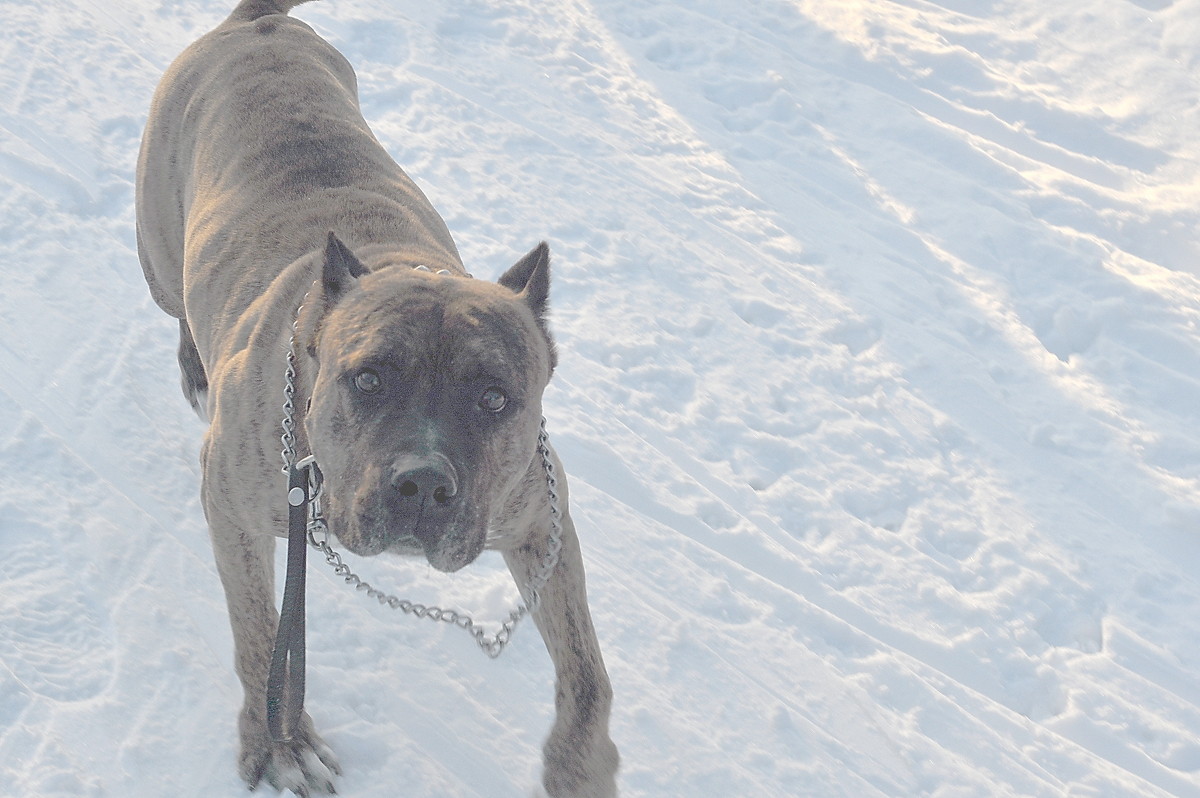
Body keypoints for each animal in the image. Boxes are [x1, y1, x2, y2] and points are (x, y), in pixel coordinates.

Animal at [135, 3, 619, 792]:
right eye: (368, 379)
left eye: (495, 398)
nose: (422, 483)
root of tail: (257, 23)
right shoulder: (233, 506)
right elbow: (259, 631)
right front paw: (278, 740)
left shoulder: (539, 521)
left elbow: (587, 674)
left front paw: (580, 765)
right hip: (157, 251)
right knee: (176, 300)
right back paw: (195, 370)